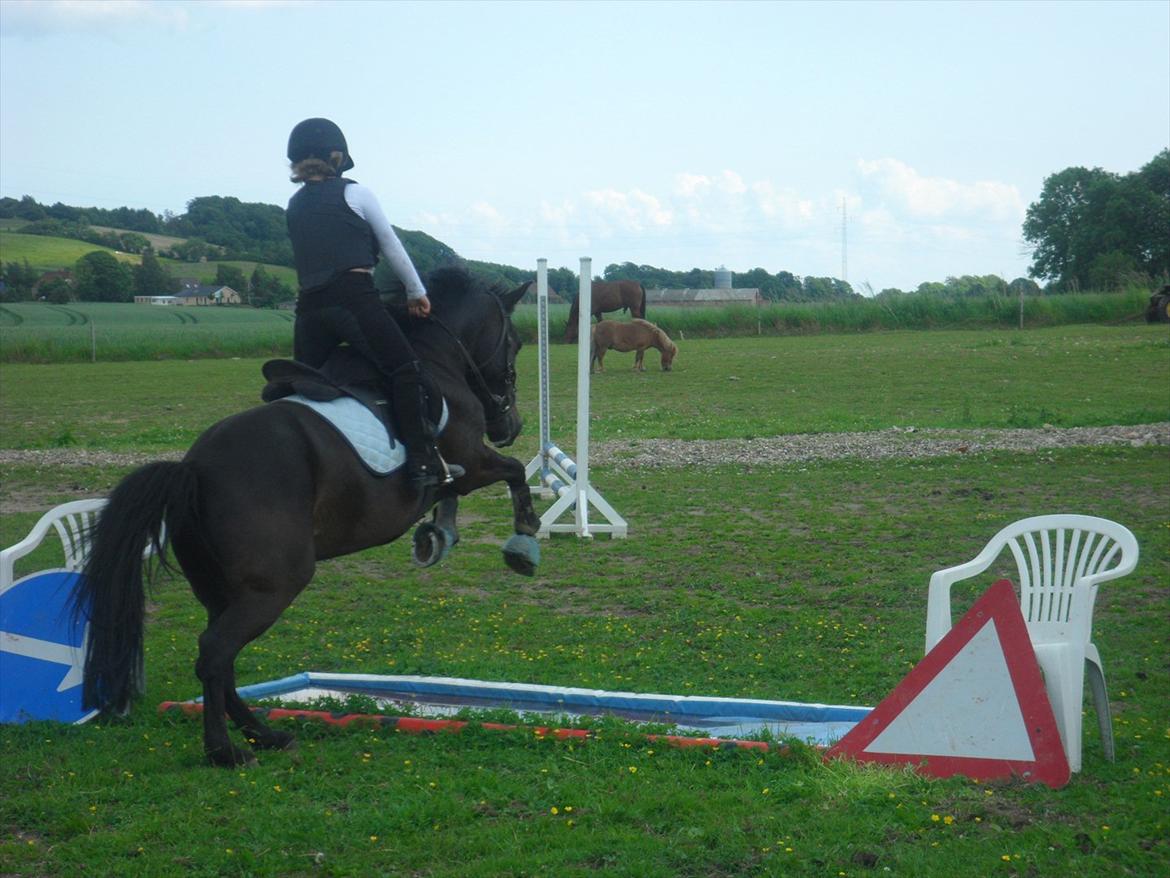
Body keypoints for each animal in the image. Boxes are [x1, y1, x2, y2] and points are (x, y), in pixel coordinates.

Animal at [75, 270, 540, 767]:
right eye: (515, 343)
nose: (511, 425)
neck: (438, 357)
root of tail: (193, 469)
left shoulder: (462, 468)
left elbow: (459, 493)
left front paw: (439, 535)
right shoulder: (471, 459)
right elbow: (514, 473)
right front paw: (523, 544)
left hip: (221, 588)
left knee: (221, 656)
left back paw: (264, 734)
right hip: (275, 584)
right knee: (215, 652)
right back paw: (226, 750)